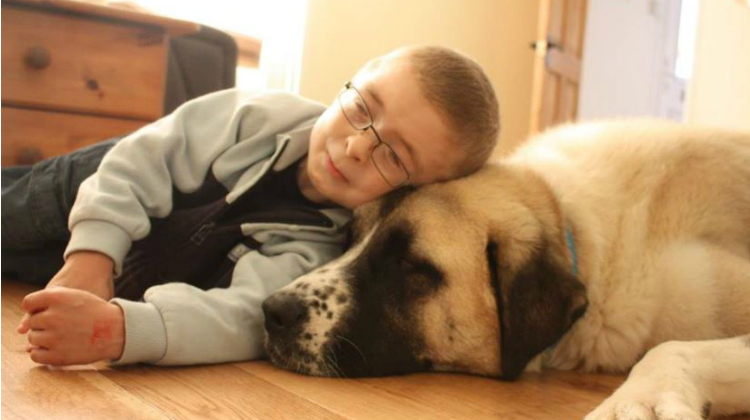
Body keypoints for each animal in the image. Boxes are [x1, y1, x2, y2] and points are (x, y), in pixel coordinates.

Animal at [262, 120, 748, 418]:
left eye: (408, 265)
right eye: (350, 238)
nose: (273, 311)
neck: (568, 224)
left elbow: (670, 348)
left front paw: (638, 401)